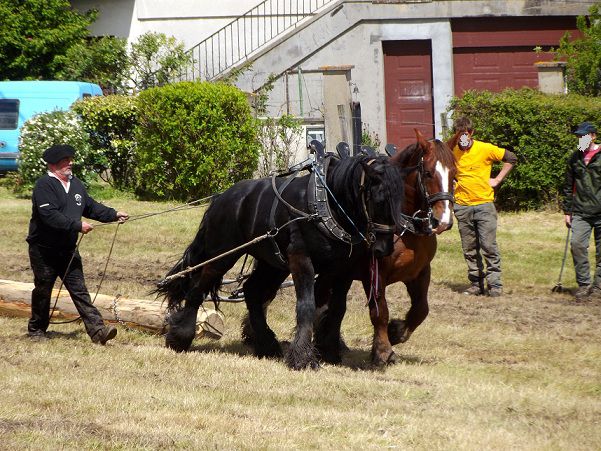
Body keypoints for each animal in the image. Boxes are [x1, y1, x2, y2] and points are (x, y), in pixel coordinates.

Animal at [156, 144, 407, 370]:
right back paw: (180, 338)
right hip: (222, 255)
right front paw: (303, 358)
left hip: (273, 265)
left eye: (400, 202)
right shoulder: (301, 259)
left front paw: (329, 351)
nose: (384, 248)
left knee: (252, 291)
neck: (326, 204)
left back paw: (266, 345)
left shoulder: (341, 268)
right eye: (379, 200)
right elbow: (307, 306)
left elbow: (336, 308)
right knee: (198, 289)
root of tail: (222, 198)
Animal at [313, 130, 458, 366]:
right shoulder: (374, 273)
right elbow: (380, 312)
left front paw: (396, 332)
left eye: (454, 174)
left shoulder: (419, 272)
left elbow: (421, 309)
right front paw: (383, 350)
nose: (443, 221)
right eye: (427, 173)